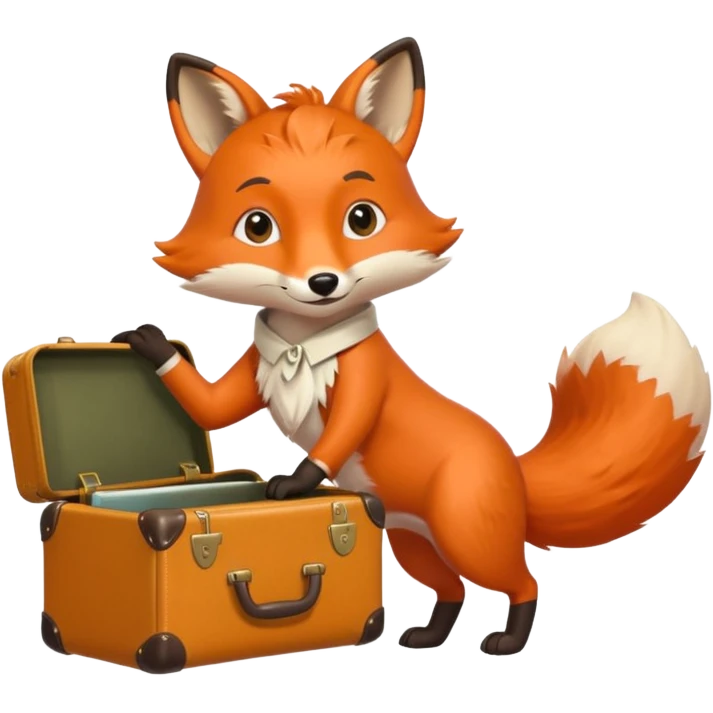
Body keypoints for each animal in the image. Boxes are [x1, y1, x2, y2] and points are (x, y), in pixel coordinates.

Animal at [116, 38, 712, 656]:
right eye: (258, 227)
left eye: (362, 218)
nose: (322, 282)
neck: (302, 346)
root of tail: (515, 472)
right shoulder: (260, 367)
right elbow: (214, 407)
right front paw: (148, 342)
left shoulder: (364, 378)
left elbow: (341, 429)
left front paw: (296, 484)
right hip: (412, 541)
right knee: (451, 589)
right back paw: (428, 635)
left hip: (467, 534)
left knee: (523, 582)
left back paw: (508, 641)